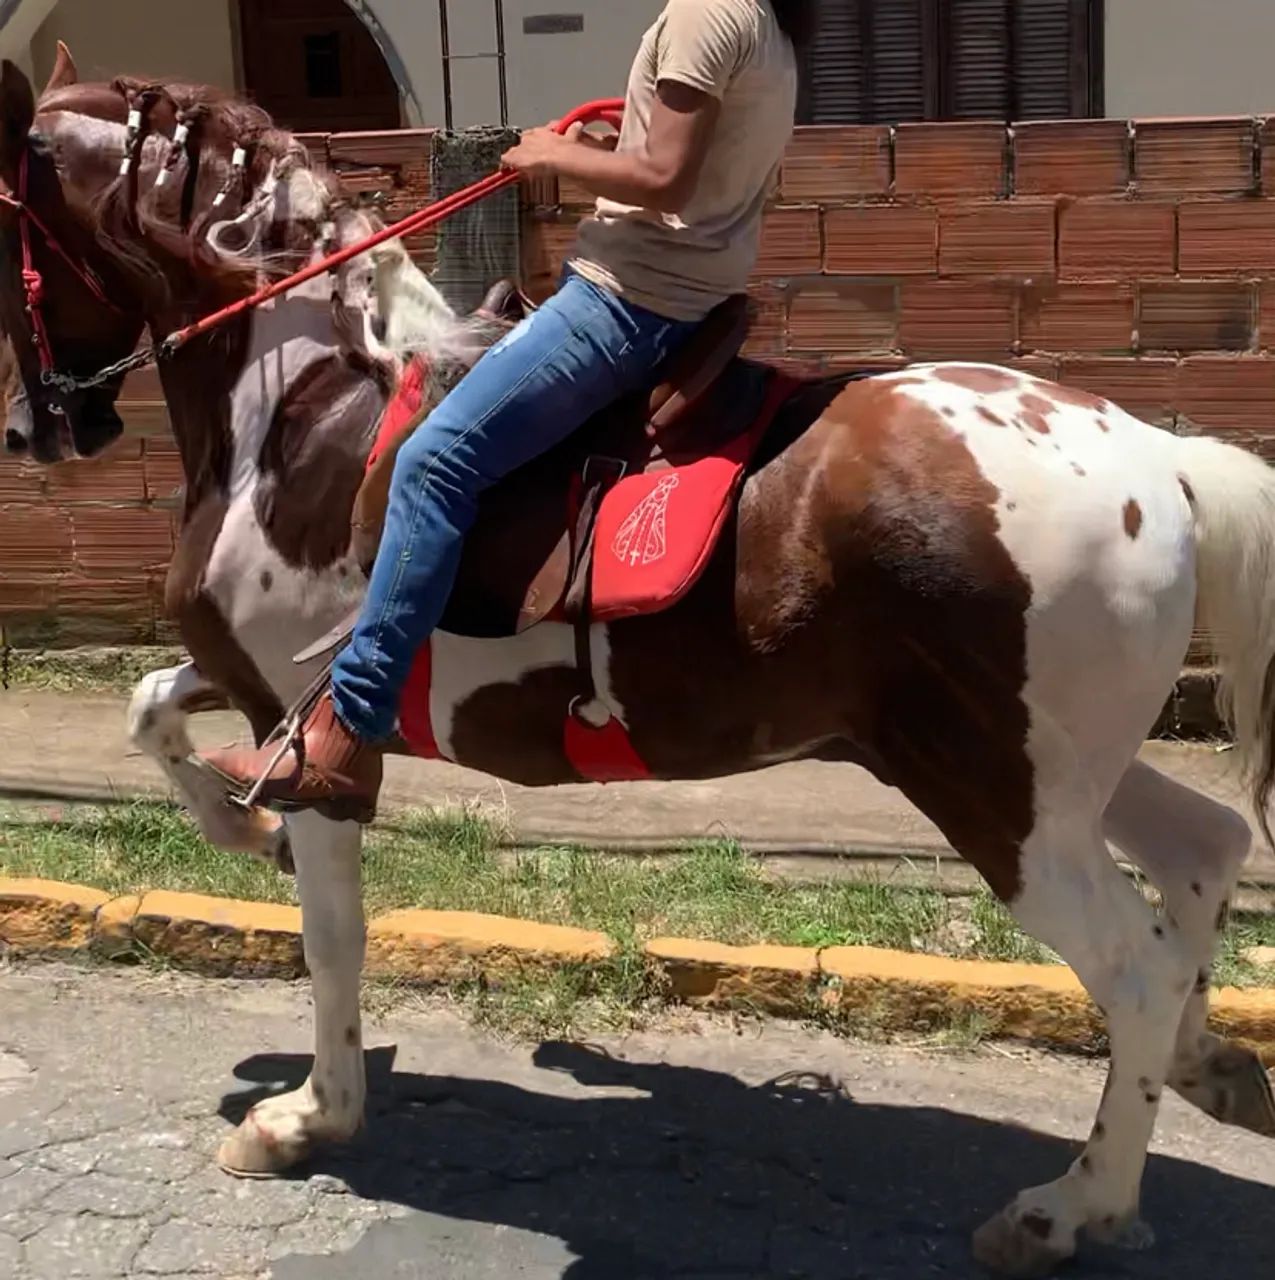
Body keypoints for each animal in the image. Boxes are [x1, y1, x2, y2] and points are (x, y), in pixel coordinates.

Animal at [1, 46, 1272, 1278]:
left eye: (8, 220)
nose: (36, 428)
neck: (301, 409)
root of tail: (1157, 458)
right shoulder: (270, 681)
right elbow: (147, 707)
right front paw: (240, 826)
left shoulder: (307, 718)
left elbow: (332, 932)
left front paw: (307, 1114)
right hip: (1055, 772)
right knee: (1203, 853)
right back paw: (1204, 1070)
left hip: (996, 794)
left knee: (1137, 964)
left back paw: (1070, 1205)